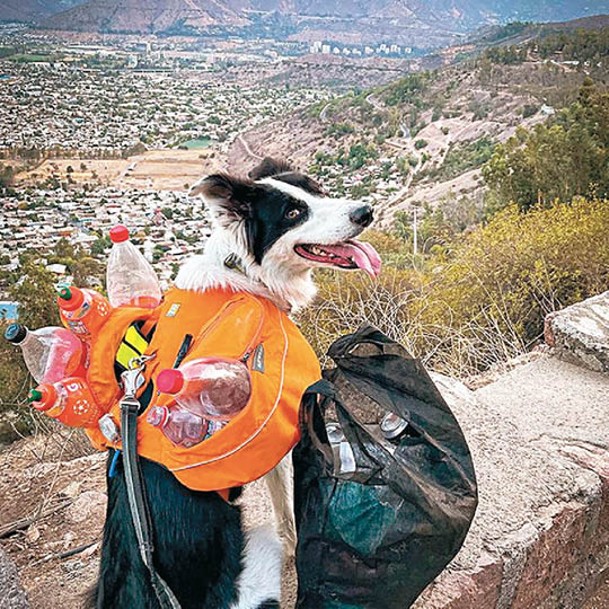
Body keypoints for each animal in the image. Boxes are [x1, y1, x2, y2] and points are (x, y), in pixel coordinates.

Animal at [91, 158, 380, 608]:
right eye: (293, 213)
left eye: (318, 190)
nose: (365, 212)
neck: (245, 272)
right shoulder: (279, 427)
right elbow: (287, 502)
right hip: (257, 555)